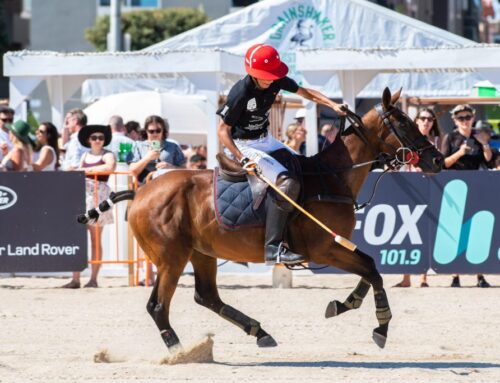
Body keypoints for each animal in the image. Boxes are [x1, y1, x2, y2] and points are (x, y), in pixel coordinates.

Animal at [80, 87, 444, 354]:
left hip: (201, 252)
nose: (438, 159)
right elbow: (372, 270)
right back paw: (179, 351)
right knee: (158, 305)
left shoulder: (335, 247)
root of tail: (141, 191)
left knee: (207, 296)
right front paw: (380, 326)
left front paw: (344, 304)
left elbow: (370, 267)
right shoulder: (323, 249)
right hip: (171, 257)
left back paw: (259, 331)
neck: (332, 177)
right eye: (404, 123)